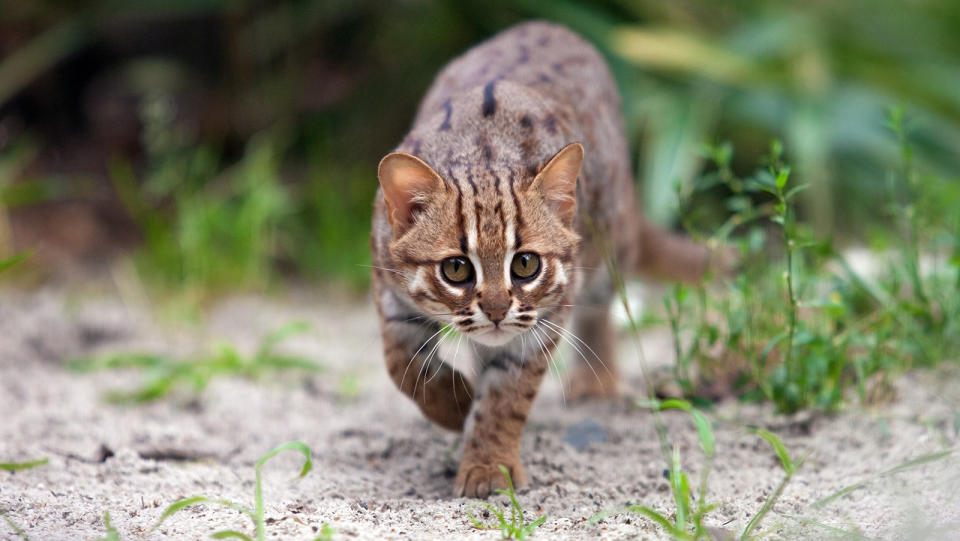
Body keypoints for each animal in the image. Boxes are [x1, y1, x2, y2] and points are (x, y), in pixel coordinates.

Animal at [372, 22, 716, 498]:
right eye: (456, 269)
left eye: (526, 265)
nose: (497, 311)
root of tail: (550, 25)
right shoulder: (391, 294)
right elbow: (402, 366)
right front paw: (456, 407)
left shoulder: (544, 318)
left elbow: (507, 397)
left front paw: (489, 464)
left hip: (608, 244)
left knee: (600, 307)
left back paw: (596, 381)